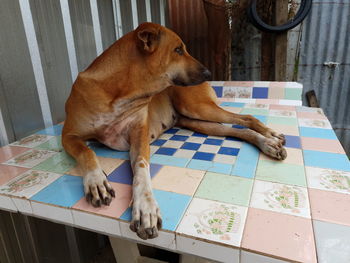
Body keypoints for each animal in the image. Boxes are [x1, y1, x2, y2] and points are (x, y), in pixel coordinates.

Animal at [63, 22, 288, 241]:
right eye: (178, 50)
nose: (208, 74)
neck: (119, 92)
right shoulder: (68, 135)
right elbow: (86, 151)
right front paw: (96, 180)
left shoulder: (139, 135)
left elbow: (141, 167)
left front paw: (145, 207)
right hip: (197, 121)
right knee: (236, 131)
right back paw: (268, 144)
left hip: (197, 107)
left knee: (246, 118)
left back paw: (270, 136)